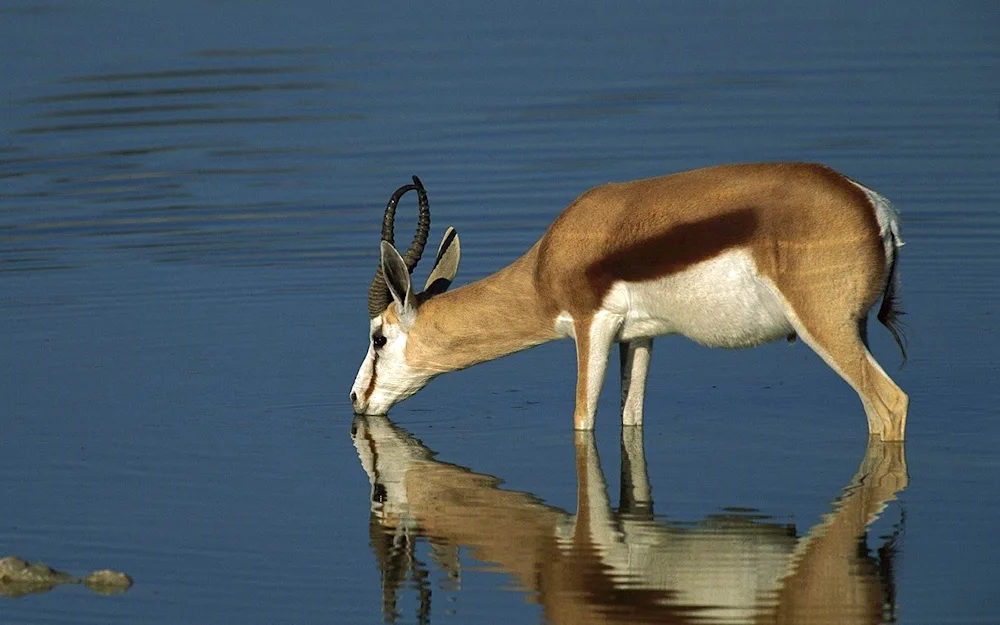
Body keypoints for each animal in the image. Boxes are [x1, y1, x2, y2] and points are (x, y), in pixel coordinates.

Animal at [350, 163, 908, 442]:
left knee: (890, 405)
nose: (356, 400)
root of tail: (875, 209)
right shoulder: (638, 338)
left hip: (826, 328)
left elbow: (582, 419)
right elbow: (631, 420)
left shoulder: (591, 327)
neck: (548, 263)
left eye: (379, 337)